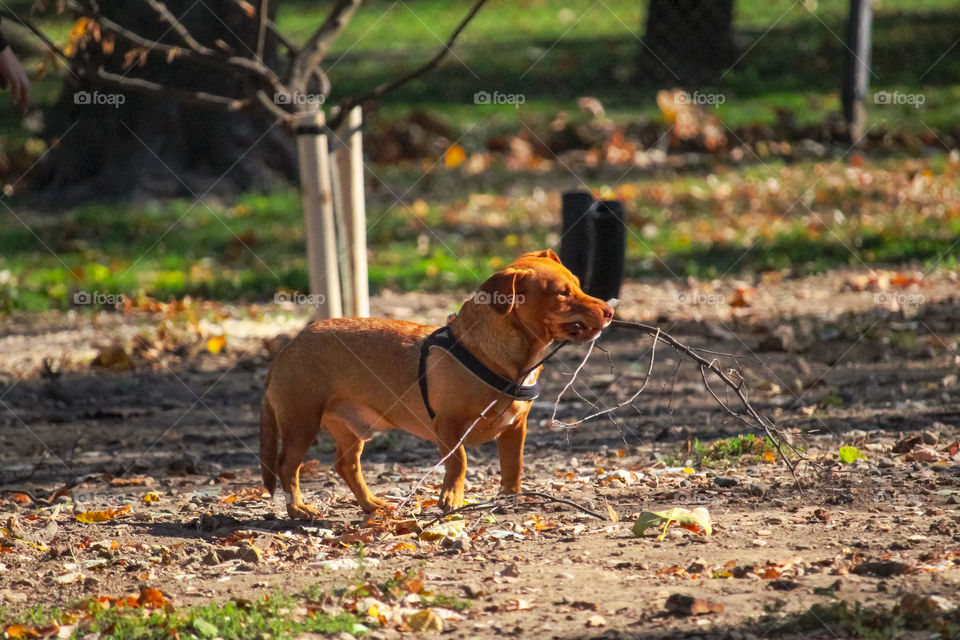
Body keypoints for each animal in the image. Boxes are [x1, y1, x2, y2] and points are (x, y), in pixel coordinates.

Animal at [258, 250, 612, 520]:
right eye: (562, 294)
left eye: (579, 286)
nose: (610, 310)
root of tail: (288, 347)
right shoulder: (448, 426)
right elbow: (460, 462)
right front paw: (451, 498)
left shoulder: (515, 428)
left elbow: (513, 466)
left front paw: (511, 498)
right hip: (302, 423)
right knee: (287, 466)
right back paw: (298, 509)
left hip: (351, 428)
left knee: (347, 465)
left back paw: (370, 505)